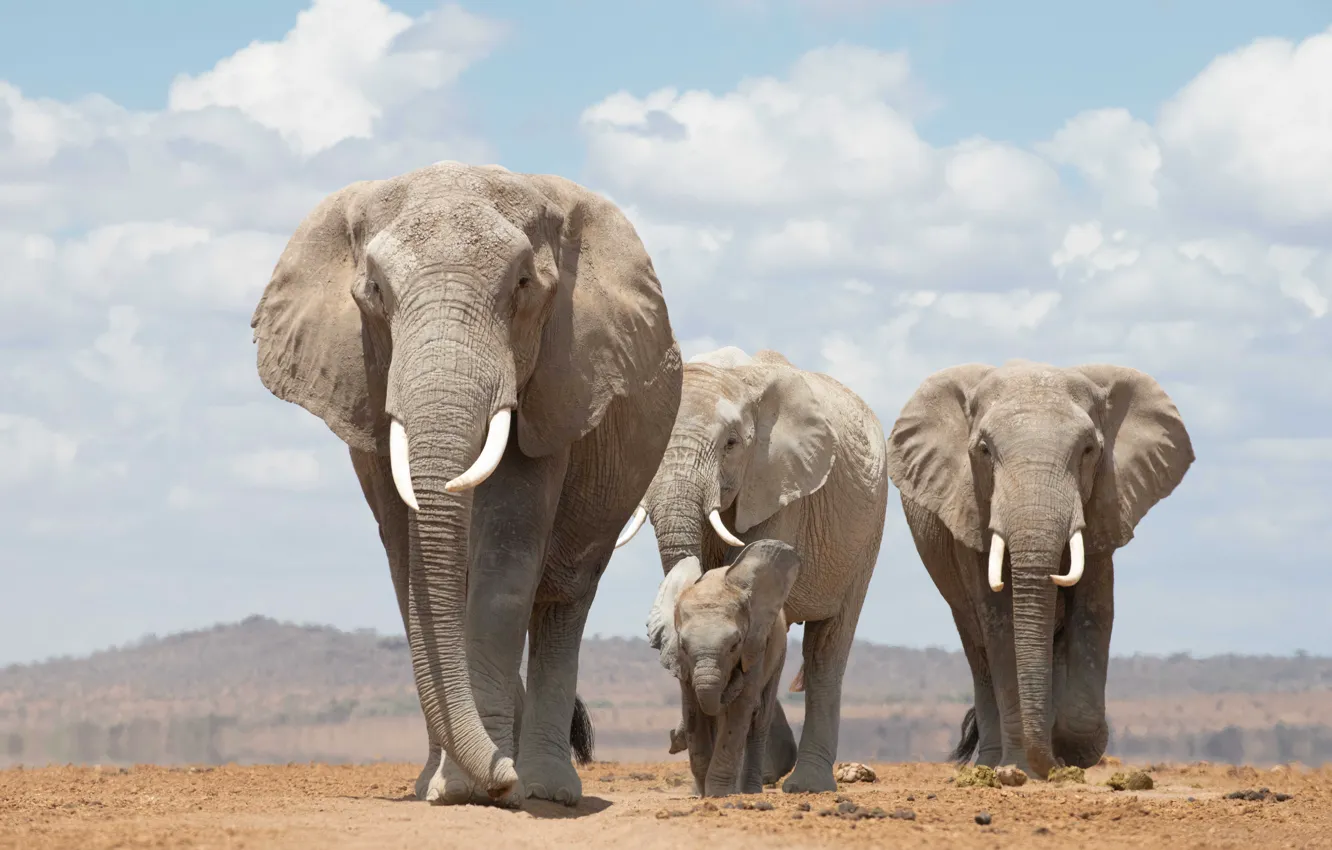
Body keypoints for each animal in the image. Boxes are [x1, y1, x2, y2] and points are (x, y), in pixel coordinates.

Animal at [251, 161, 682, 806]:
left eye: (524, 285)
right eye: (374, 291)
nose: (502, 778)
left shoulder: (553, 382)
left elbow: (507, 559)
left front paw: (487, 785)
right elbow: (410, 568)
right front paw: (446, 788)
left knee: (564, 598)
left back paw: (548, 787)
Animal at [647, 540, 799, 797]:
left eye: (735, 645)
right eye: (683, 645)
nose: (672, 741)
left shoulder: (755, 646)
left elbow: (740, 708)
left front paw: (719, 794)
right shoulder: (685, 667)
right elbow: (693, 709)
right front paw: (702, 793)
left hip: (778, 651)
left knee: (759, 717)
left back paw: (749, 791)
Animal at [885, 360, 1193, 779]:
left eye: (1089, 450)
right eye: (984, 450)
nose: (1048, 763)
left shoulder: (1105, 505)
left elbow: (1094, 612)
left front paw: (1072, 749)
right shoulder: (970, 509)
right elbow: (1000, 624)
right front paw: (1023, 768)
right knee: (978, 648)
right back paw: (991, 764)